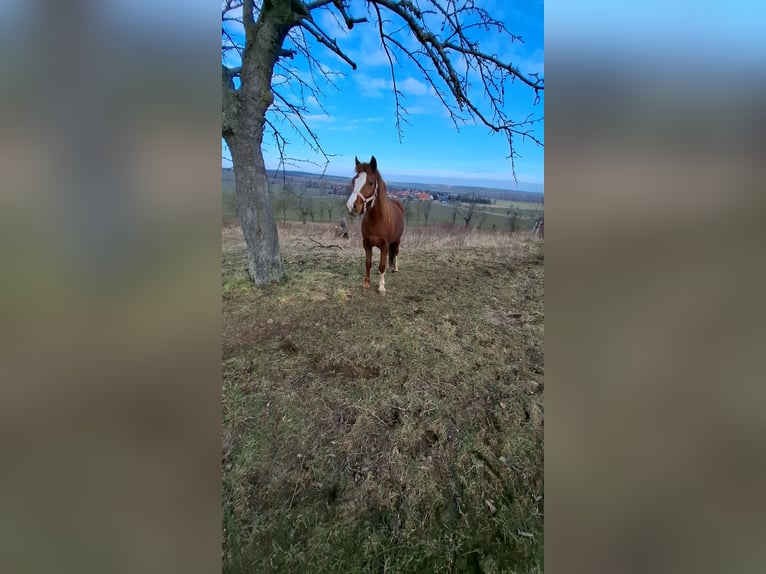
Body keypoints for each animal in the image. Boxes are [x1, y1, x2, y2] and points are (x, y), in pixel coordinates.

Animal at [348, 156, 408, 294]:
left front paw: (381, 287)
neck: (377, 220)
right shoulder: (366, 244)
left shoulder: (385, 245)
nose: (351, 206)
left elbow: (382, 265)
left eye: (370, 183)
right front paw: (366, 284)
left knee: (396, 252)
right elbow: (368, 263)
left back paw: (395, 268)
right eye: (354, 181)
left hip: (397, 240)